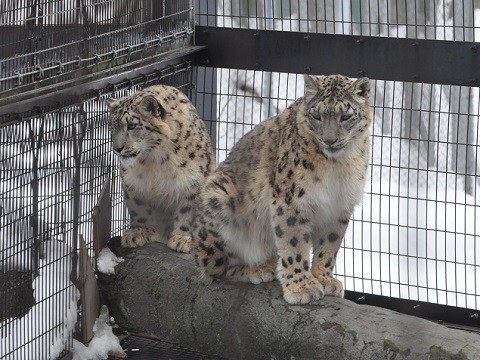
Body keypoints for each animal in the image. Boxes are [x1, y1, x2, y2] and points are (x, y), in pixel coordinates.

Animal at [108, 84, 215, 253]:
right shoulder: (133, 183)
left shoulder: (192, 182)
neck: (154, 161)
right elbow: (139, 209)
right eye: (112, 127)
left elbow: (188, 211)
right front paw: (138, 233)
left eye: (131, 125)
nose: (117, 148)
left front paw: (182, 239)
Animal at [192, 74, 372, 304]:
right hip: (218, 198)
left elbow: (329, 246)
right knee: (218, 268)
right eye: (317, 115)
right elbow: (294, 242)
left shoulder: (339, 206)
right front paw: (301, 287)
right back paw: (259, 268)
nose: (329, 140)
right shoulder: (293, 198)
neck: (338, 167)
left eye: (346, 116)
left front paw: (324, 278)